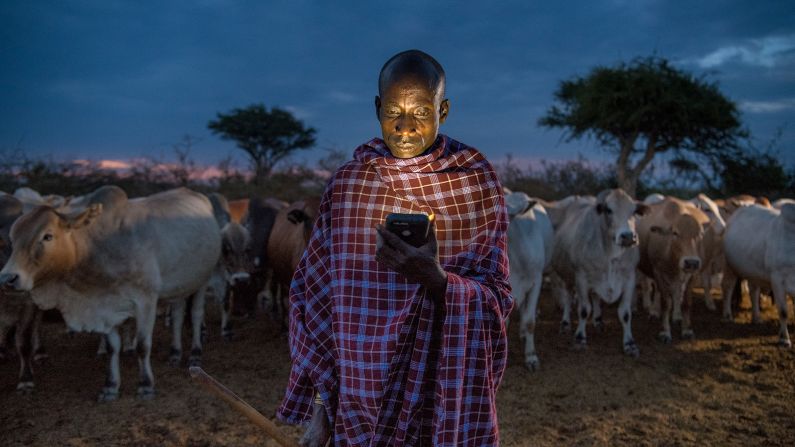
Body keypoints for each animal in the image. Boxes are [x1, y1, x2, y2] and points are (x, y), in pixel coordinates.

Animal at [0, 186, 221, 402]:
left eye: (47, 236)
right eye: (12, 238)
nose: (7, 278)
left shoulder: (146, 300)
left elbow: (143, 345)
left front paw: (146, 385)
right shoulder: (106, 306)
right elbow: (113, 347)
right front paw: (111, 386)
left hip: (202, 279)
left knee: (196, 315)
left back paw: (195, 353)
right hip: (181, 285)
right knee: (177, 315)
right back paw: (175, 353)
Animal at [552, 189, 648, 356]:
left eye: (634, 211)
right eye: (608, 210)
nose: (628, 237)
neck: (611, 254)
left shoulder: (629, 278)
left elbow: (625, 313)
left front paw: (630, 343)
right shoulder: (581, 278)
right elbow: (584, 310)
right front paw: (580, 338)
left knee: (596, 297)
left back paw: (598, 320)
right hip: (567, 277)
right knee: (568, 298)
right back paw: (565, 323)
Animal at [720, 205, 795, 348]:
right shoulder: (777, 279)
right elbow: (783, 311)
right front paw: (784, 339)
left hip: (753, 273)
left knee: (753, 291)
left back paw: (756, 317)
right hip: (729, 266)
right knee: (728, 288)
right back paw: (727, 315)